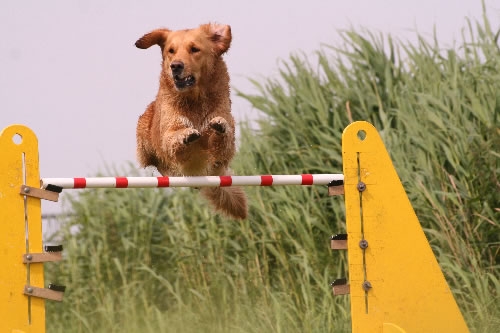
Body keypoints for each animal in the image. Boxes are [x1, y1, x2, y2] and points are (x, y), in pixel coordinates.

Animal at [135, 24, 248, 220]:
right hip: (143, 132)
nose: (175, 66)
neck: (194, 99)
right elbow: (172, 139)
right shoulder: (170, 134)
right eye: (171, 51)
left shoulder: (224, 148)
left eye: (194, 49)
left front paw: (220, 125)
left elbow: (224, 136)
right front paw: (186, 135)